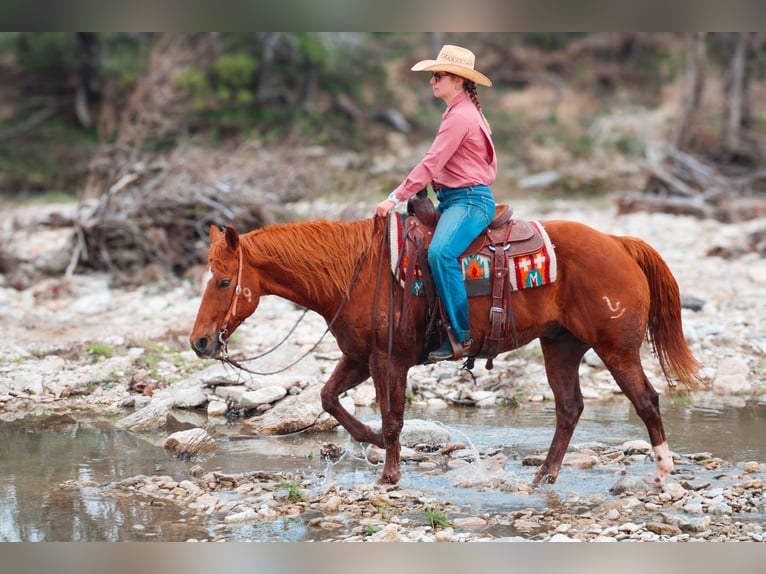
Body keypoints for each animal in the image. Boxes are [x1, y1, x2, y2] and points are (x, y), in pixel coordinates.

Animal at [189, 212, 704, 490]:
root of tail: (618, 243)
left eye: (224, 281)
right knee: (569, 408)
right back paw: (543, 477)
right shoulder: (358, 357)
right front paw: (370, 442)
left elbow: (392, 419)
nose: (200, 341)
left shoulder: (388, 360)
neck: (357, 271)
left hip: (617, 348)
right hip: (561, 345)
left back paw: (662, 471)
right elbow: (329, 398)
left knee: (646, 400)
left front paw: (388, 474)